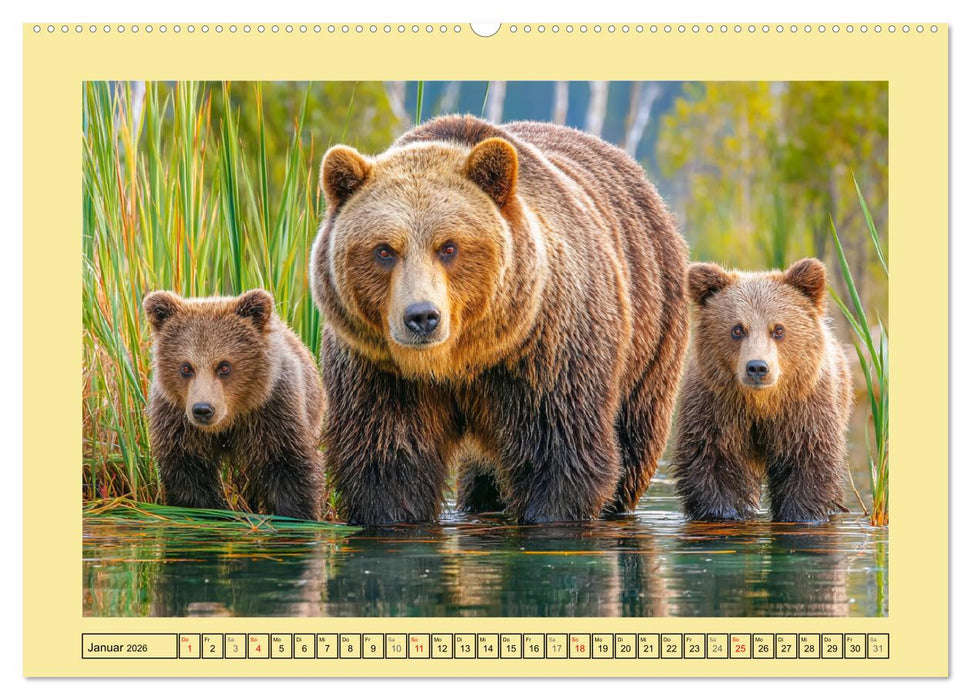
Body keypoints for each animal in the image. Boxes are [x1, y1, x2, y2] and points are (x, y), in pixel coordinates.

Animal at [143, 289, 326, 520]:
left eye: (224, 366)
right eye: (186, 367)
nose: (203, 409)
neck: (229, 420)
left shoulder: (273, 411)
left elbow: (288, 468)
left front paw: (296, 515)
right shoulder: (176, 419)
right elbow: (188, 473)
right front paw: (207, 510)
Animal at [310, 115, 689, 525]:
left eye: (449, 247)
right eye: (384, 250)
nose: (422, 317)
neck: (459, 360)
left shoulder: (546, 352)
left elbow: (559, 454)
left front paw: (552, 514)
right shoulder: (378, 370)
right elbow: (389, 457)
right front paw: (394, 511)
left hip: (651, 334)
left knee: (634, 442)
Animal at [671, 258, 853, 522]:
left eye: (778, 329)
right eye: (737, 329)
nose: (757, 367)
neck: (760, 404)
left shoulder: (805, 411)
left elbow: (808, 463)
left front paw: (801, 514)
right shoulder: (715, 408)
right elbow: (711, 461)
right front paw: (722, 512)